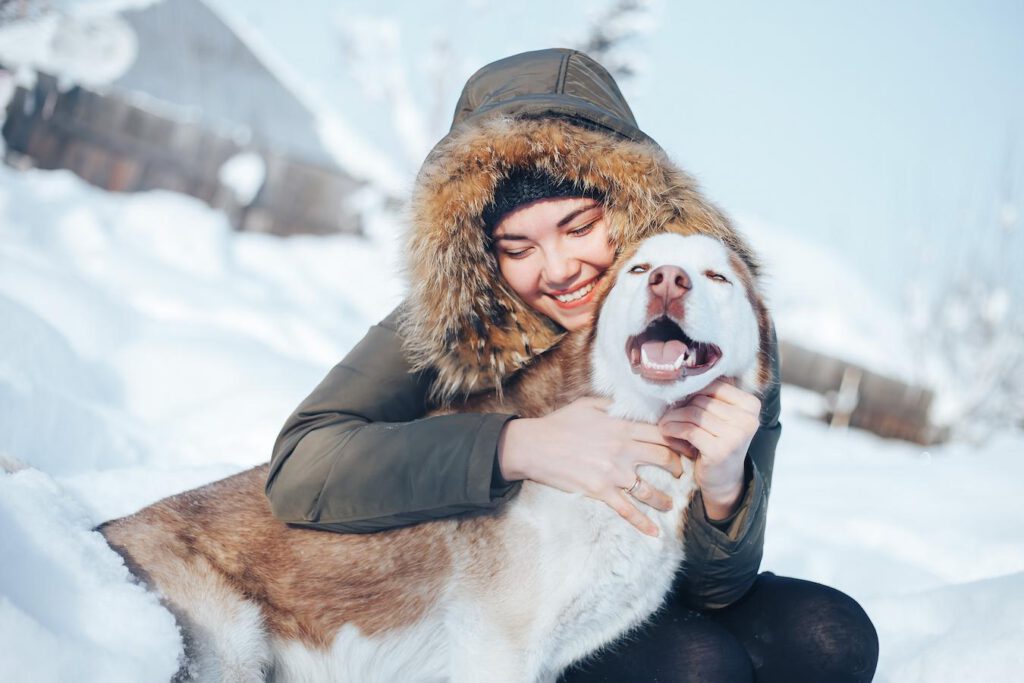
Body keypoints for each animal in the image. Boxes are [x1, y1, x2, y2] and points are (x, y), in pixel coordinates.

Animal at [99, 231, 770, 683]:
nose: (669, 281)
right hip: (232, 647)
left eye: (717, 278)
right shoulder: (496, 648)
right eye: (639, 269)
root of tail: (103, 528)